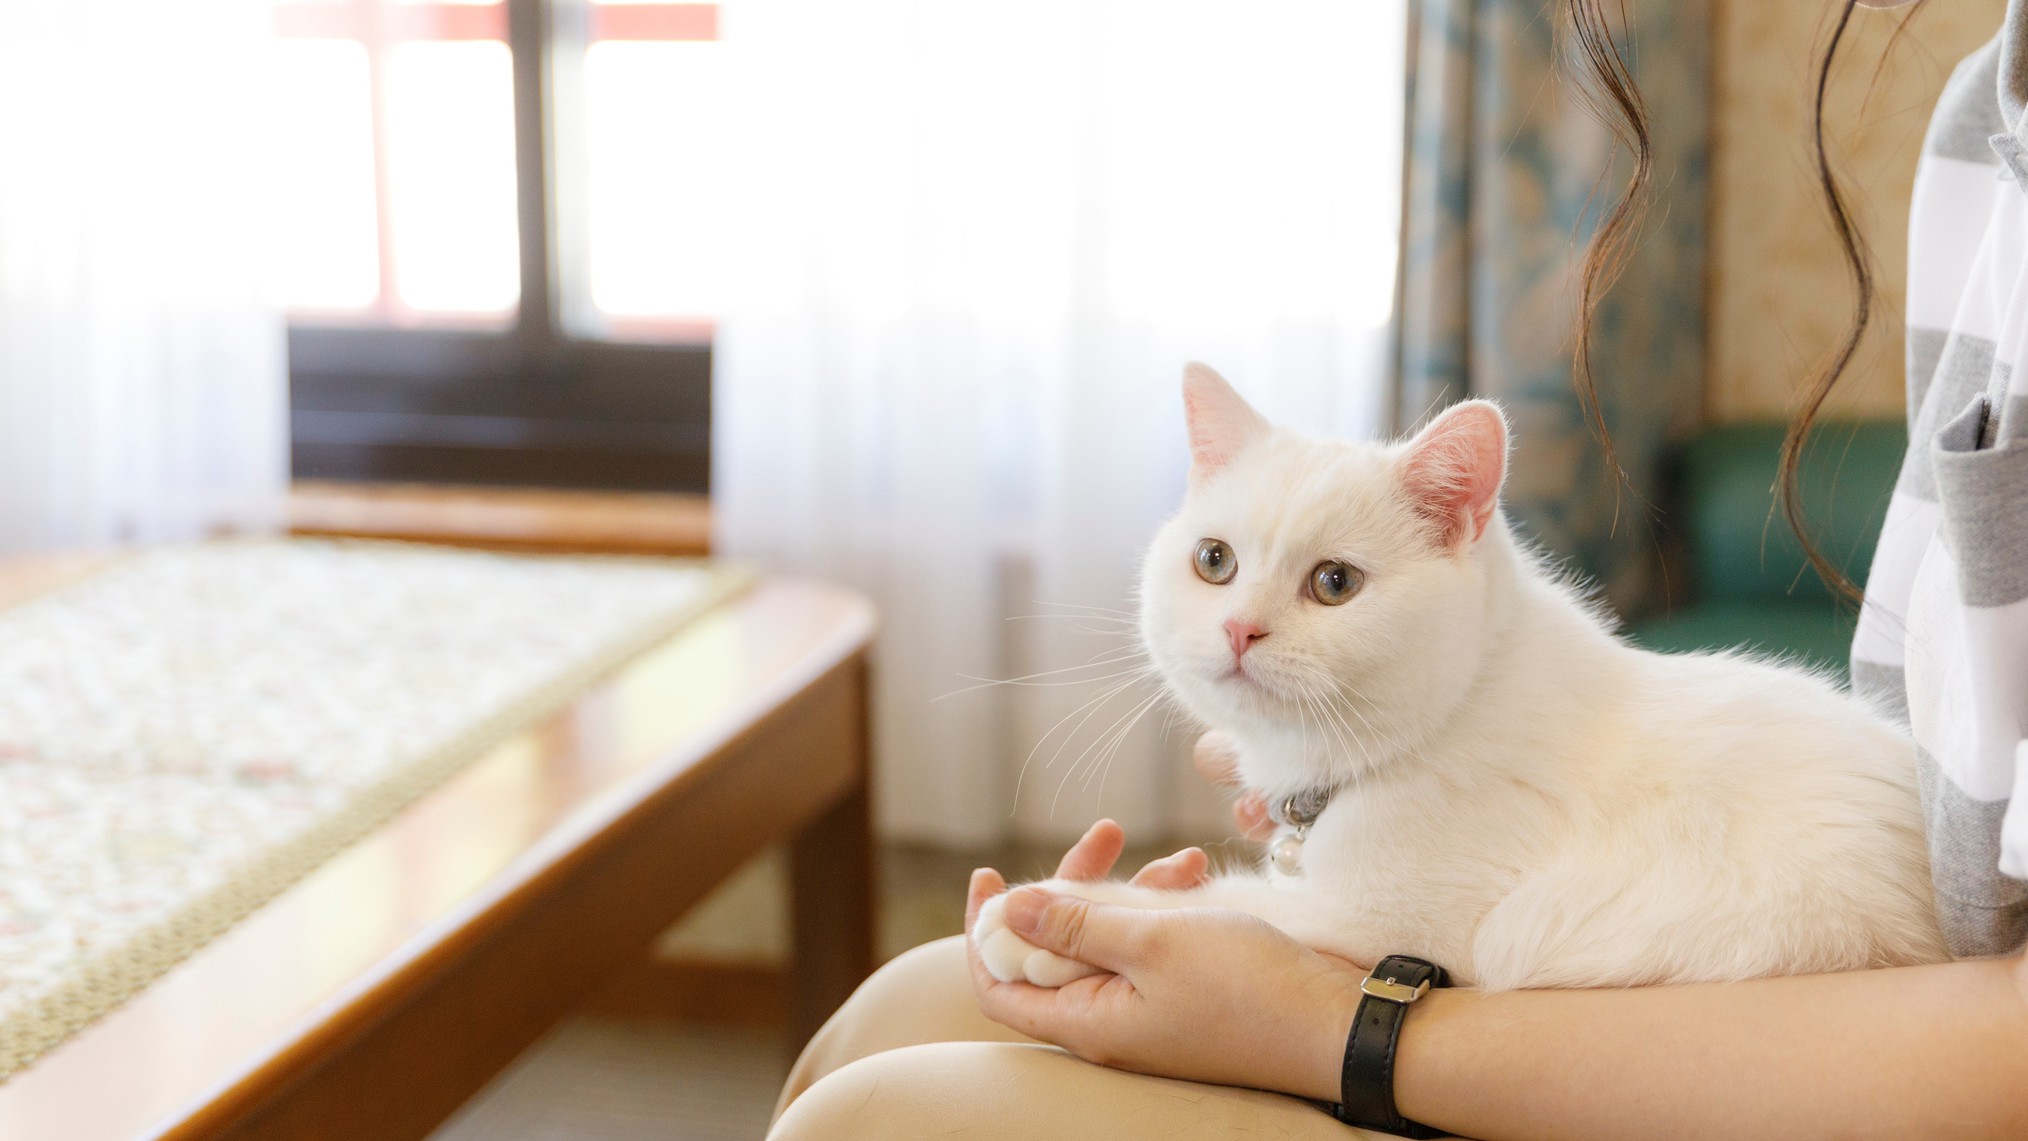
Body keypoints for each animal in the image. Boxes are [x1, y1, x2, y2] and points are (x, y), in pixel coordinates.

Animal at [973, 364, 1954, 993]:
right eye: (1214, 561)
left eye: (1335, 582)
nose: (1238, 626)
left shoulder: (1379, 923)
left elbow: (1224, 909)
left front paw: (1047, 912)